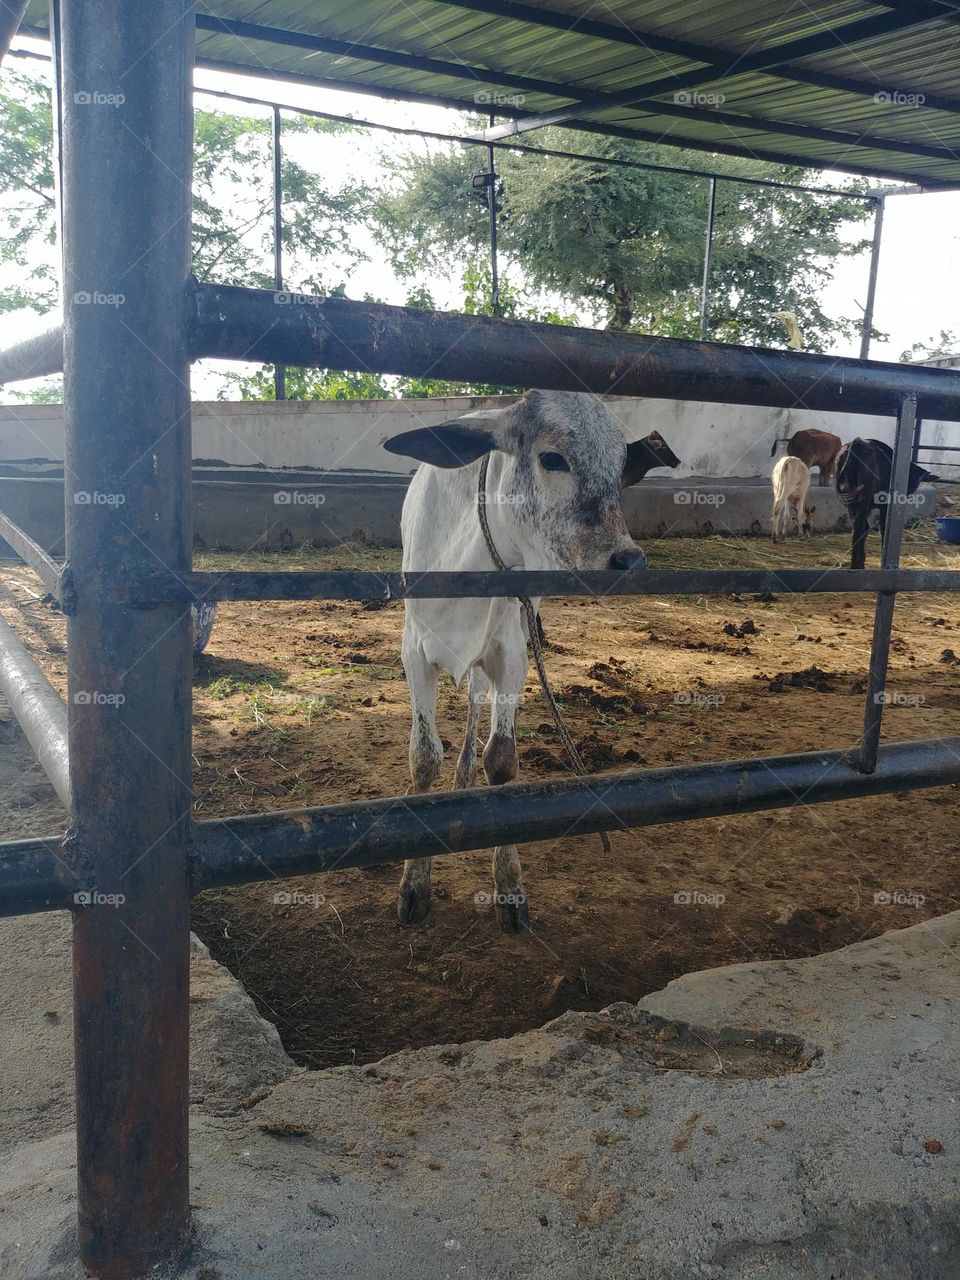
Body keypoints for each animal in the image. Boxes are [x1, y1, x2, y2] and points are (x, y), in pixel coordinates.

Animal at [382, 390, 656, 931]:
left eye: (618, 468)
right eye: (552, 459)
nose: (628, 560)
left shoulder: (512, 654)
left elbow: (502, 760)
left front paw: (508, 885)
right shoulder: (414, 652)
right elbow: (423, 758)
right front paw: (414, 884)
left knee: (475, 700)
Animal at [835, 437, 939, 569]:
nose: (907, 492)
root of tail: (856, 444)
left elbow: (867, 529)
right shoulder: (884, 506)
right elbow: (883, 529)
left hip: (851, 502)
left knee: (857, 530)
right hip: (862, 502)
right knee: (858, 531)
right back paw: (854, 566)